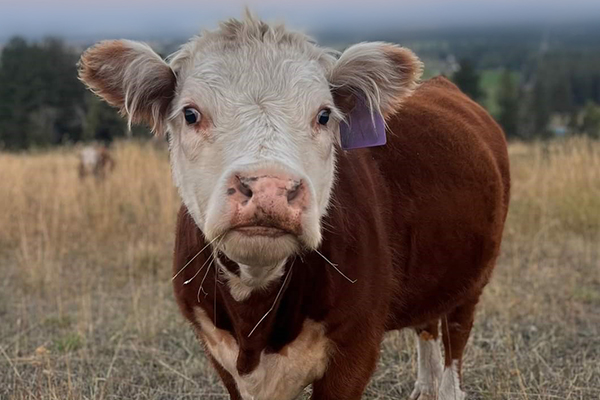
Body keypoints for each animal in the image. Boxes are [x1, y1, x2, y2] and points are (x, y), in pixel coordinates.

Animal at [78, 11, 510, 400]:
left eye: (324, 115)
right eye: (190, 113)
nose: (269, 188)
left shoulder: (356, 349)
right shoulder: (216, 348)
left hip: (474, 278)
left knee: (454, 339)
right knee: (428, 324)